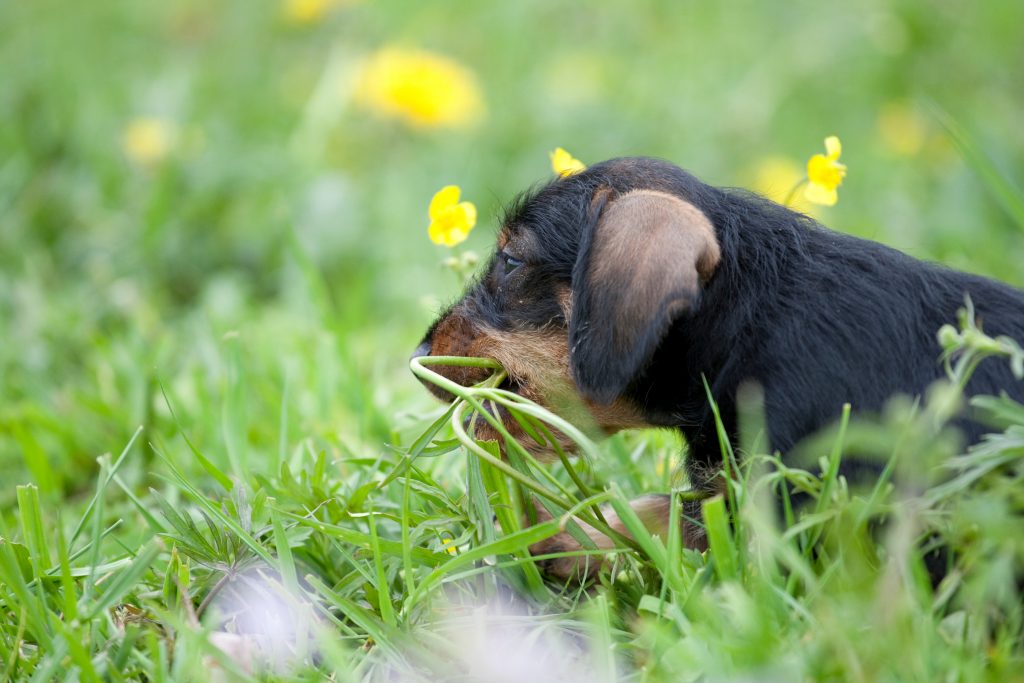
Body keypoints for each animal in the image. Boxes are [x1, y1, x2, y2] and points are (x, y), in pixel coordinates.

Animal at [409, 157, 1024, 581]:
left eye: (511, 261)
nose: (419, 355)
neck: (746, 326)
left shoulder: (784, 506)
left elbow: (663, 528)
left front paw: (544, 535)